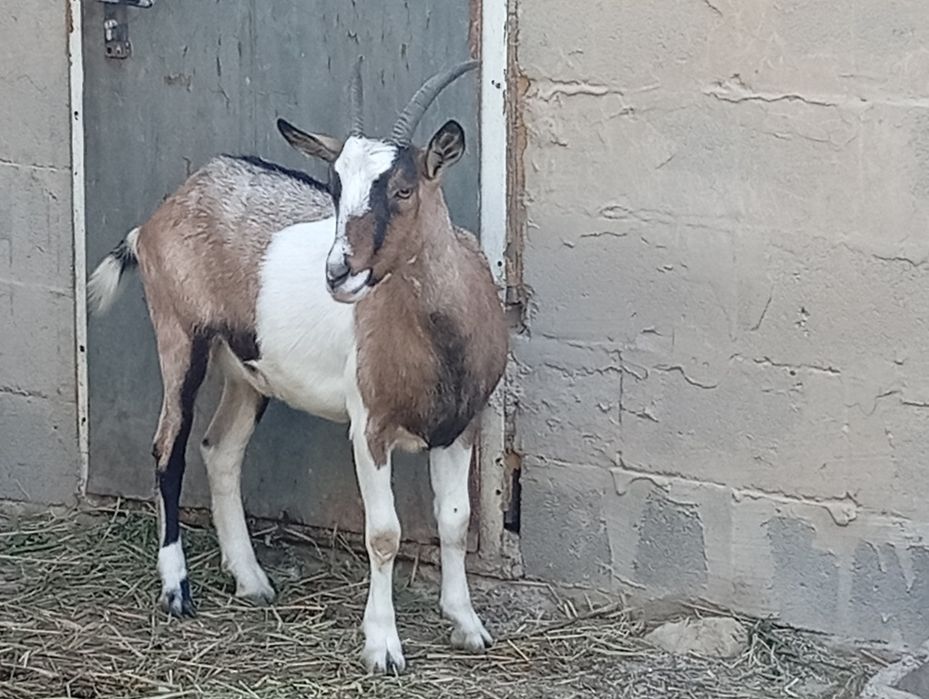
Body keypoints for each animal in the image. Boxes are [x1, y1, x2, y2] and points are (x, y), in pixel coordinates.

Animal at [87, 59, 508, 674]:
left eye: (403, 189)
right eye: (334, 188)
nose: (338, 273)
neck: (441, 339)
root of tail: (163, 214)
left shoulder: (461, 425)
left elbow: (454, 521)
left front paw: (468, 625)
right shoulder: (369, 428)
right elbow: (384, 533)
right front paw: (382, 646)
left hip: (248, 370)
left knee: (221, 449)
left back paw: (252, 580)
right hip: (180, 338)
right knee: (169, 448)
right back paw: (177, 590)